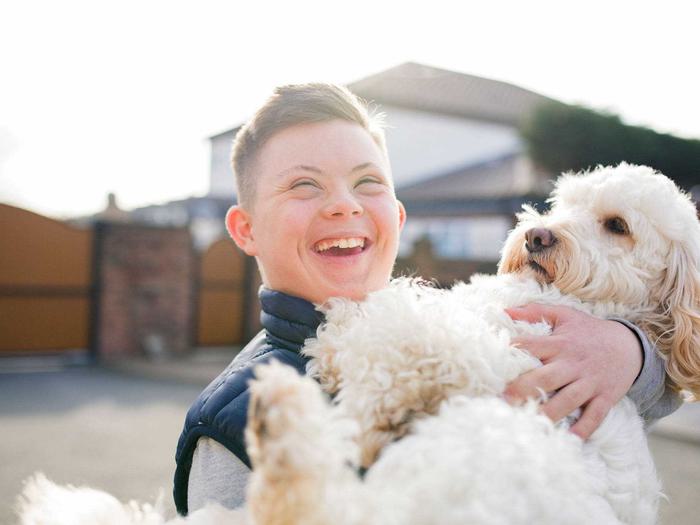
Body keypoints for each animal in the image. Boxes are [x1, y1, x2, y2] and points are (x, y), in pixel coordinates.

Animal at [16, 164, 700, 524]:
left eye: (617, 226)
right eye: (563, 204)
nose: (537, 236)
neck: (594, 305)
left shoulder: (476, 352)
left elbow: (391, 330)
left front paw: (339, 345)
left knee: (299, 502)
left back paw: (282, 420)